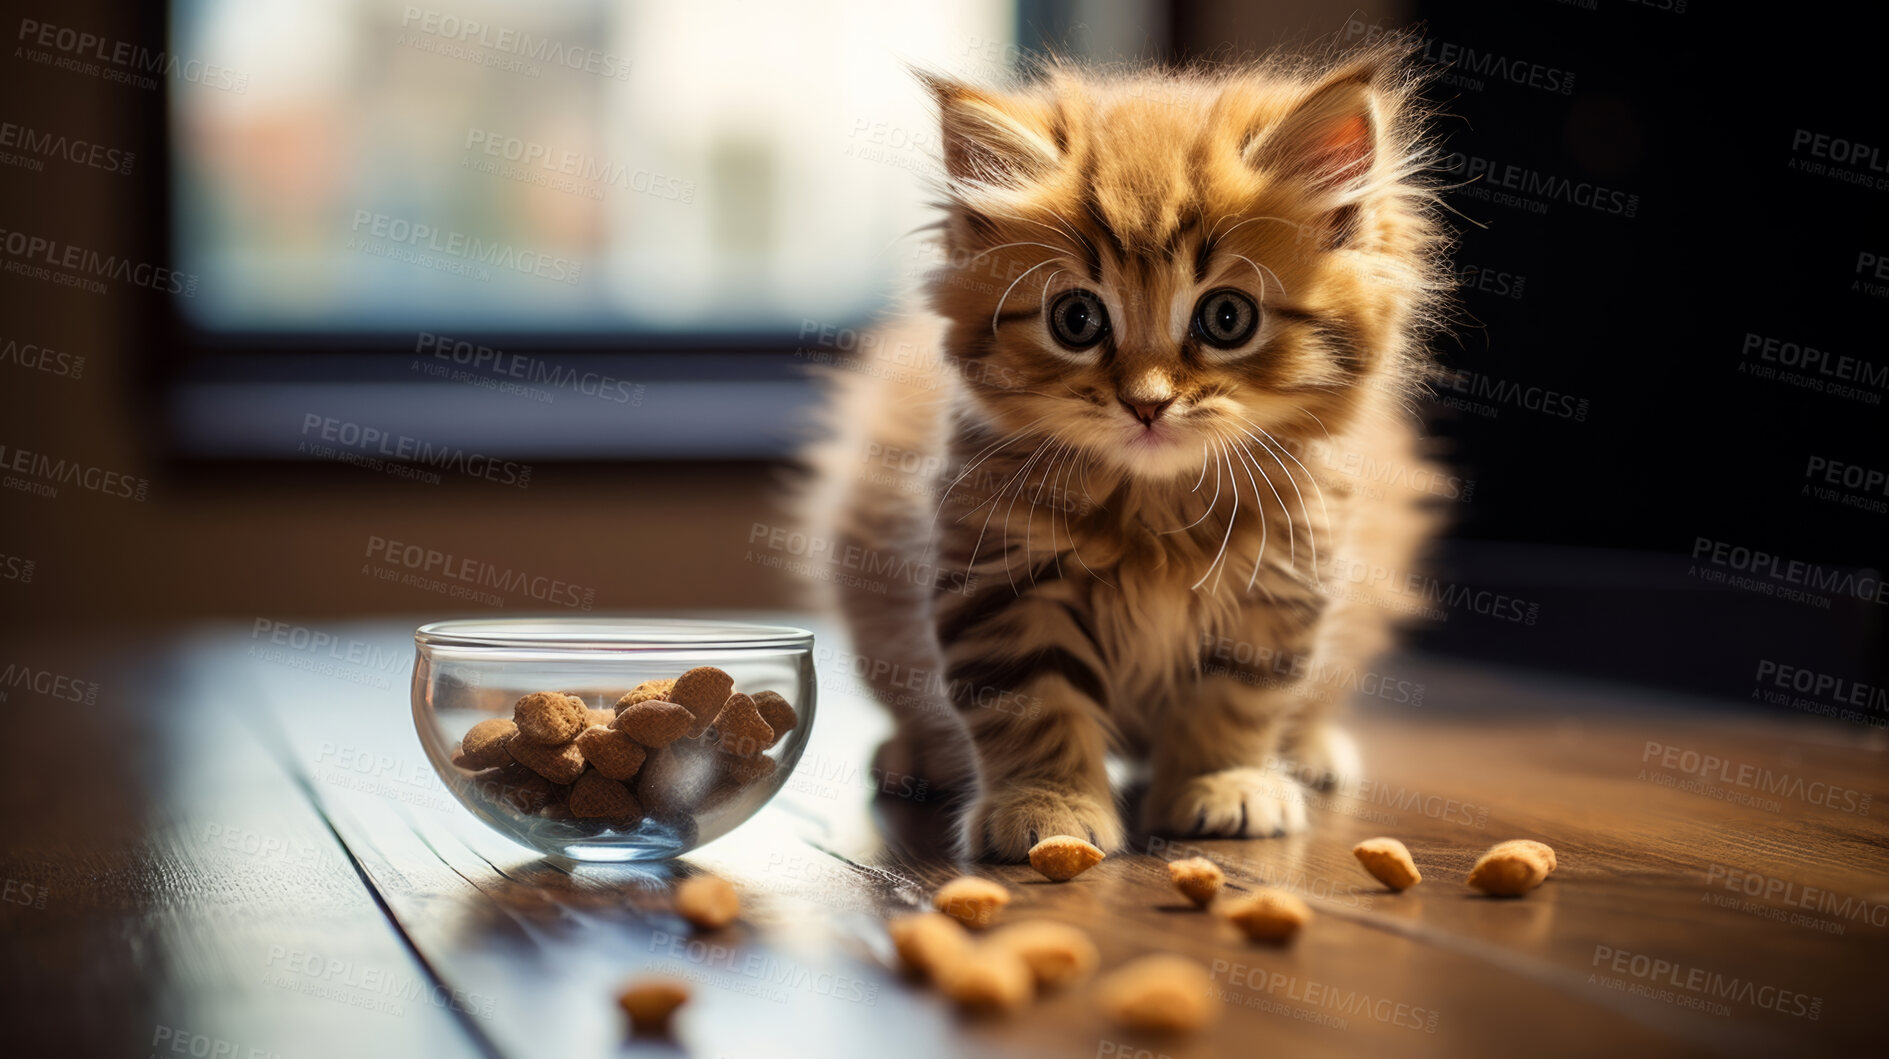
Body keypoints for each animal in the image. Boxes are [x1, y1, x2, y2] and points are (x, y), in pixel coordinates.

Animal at [800, 45, 1443, 864]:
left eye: (1226, 318)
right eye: (1076, 320)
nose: (1146, 402)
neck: (1158, 512)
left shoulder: (1280, 588)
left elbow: (1236, 701)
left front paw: (1224, 783)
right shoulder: (1002, 580)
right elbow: (1032, 706)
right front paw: (1047, 806)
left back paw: (1309, 751)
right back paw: (916, 756)